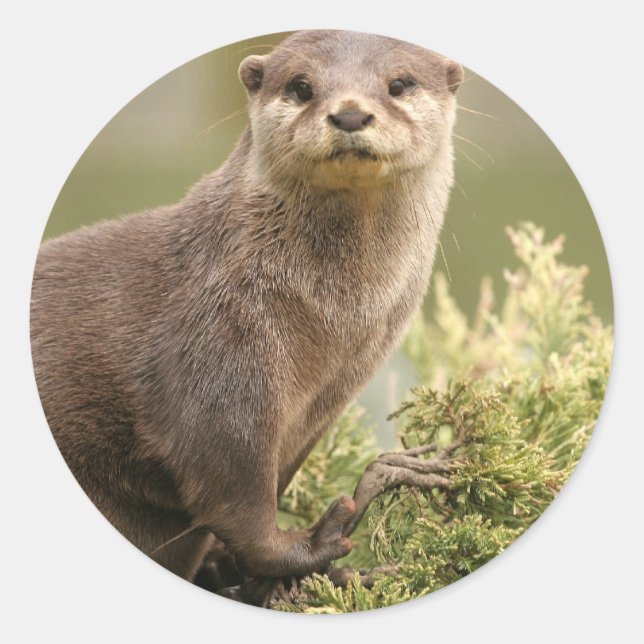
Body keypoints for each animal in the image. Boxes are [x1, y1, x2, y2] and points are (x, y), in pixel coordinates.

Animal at [30, 30, 463, 591]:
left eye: (400, 83)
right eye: (301, 86)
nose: (349, 114)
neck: (330, 317)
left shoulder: (325, 400)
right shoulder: (222, 344)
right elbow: (232, 490)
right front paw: (318, 540)